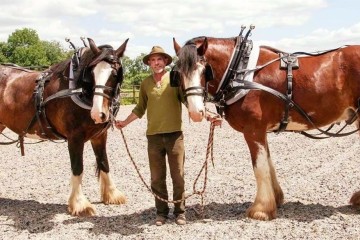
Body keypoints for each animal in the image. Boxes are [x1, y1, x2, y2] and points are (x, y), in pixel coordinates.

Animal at [0, 38, 129, 218]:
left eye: (115, 73)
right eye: (92, 73)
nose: (98, 114)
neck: (77, 90)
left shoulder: (99, 136)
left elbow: (104, 162)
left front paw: (111, 194)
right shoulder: (75, 138)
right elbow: (77, 167)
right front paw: (79, 204)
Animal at [171, 27, 360, 219]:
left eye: (205, 70)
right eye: (177, 73)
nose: (196, 112)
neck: (240, 73)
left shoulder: (253, 130)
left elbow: (259, 167)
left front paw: (261, 209)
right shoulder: (261, 130)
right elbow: (268, 164)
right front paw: (276, 198)